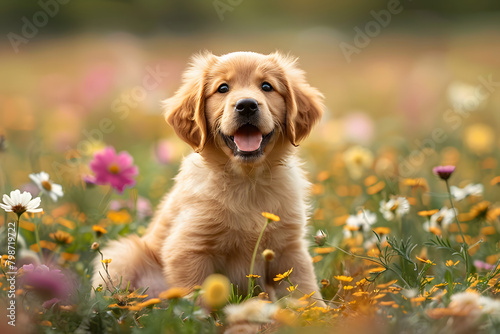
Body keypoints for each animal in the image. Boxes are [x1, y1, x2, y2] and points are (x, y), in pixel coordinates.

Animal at [92, 51, 326, 306]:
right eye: (223, 88)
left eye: (267, 86)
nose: (246, 105)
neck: (247, 180)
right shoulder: (189, 248)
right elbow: (196, 301)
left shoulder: (289, 249)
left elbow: (305, 289)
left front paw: (318, 312)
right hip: (123, 254)